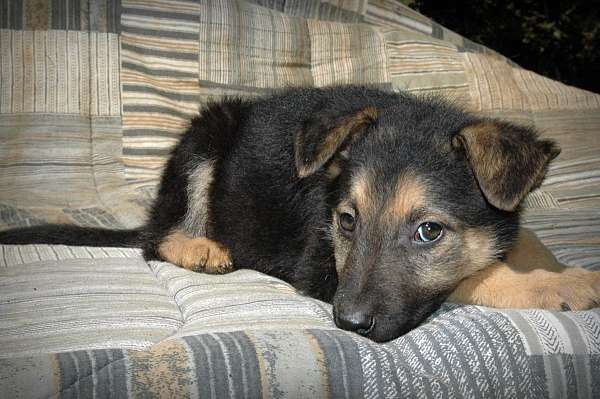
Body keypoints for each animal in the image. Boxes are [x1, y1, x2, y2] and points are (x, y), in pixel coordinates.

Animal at [1, 86, 600, 342]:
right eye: (347, 221)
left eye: (429, 232)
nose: (348, 324)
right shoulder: (321, 265)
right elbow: (477, 276)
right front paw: (563, 284)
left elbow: (521, 243)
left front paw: (552, 266)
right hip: (207, 134)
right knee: (158, 237)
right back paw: (201, 247)